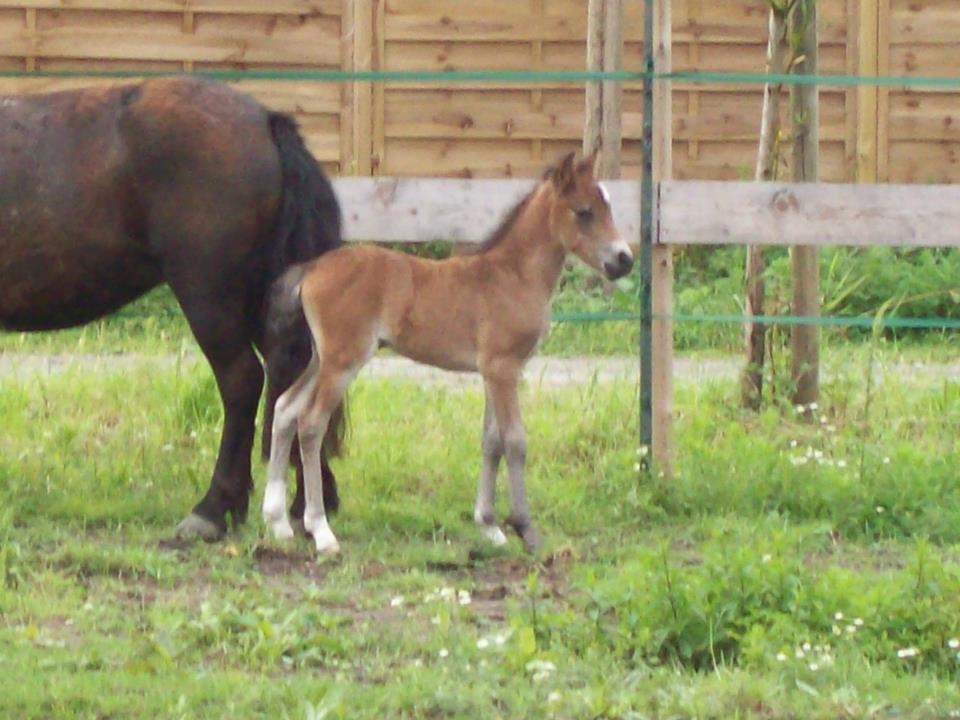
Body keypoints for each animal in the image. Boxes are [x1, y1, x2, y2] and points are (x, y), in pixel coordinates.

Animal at [266, 152, 632, 556]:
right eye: (584, 211)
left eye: (608, 206)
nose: (624, 260)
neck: (513, 275)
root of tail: (313, 266)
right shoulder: (503, 367)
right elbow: (515, 441)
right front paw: (526, 529)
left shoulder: (494, 371)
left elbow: (491, 441)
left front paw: (489, 526)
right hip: (343, 361)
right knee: (311, 422)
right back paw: (321, 530)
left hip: (321, 358)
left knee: (285, 408)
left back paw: (278, 522)